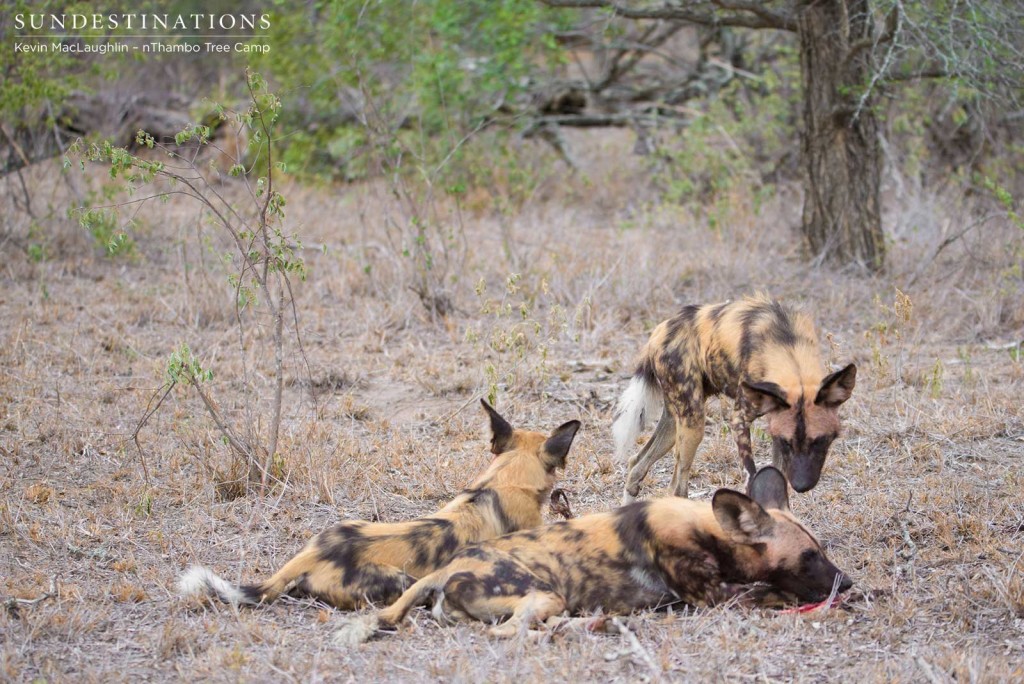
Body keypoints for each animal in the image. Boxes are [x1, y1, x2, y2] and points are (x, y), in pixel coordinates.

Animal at [337, 464, 856, 643]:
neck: (706, 529)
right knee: (511, 633)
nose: (846, 581)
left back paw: (597, 624)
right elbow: (771, 593)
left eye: (822, 550)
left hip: (542, 601)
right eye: (808, 558)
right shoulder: (716, 596)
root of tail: (447, 571)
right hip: (543, 593)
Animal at [610, 294, 860, 501]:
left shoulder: (776, 431)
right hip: (694, 424)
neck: (786, 347)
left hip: (675, 422)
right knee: (676, 489)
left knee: (636, 465)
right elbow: (752, 475)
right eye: (790, 443)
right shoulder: (739, 419)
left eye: (820, 441)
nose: (801, 485)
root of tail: (660, 331)